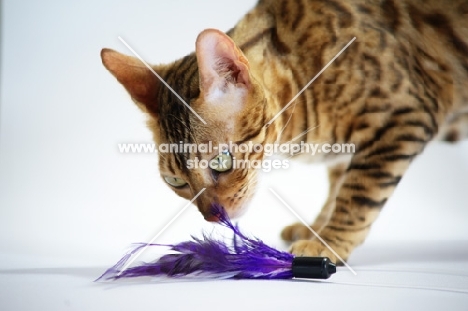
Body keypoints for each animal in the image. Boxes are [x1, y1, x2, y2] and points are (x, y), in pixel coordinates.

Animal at [99, 0, 468, 264]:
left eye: (221, 162)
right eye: (175, 181)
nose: (212, 216)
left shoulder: (404, 115)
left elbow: (357, 193)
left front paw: (328, 242)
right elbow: (338, 182)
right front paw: (317, 227)